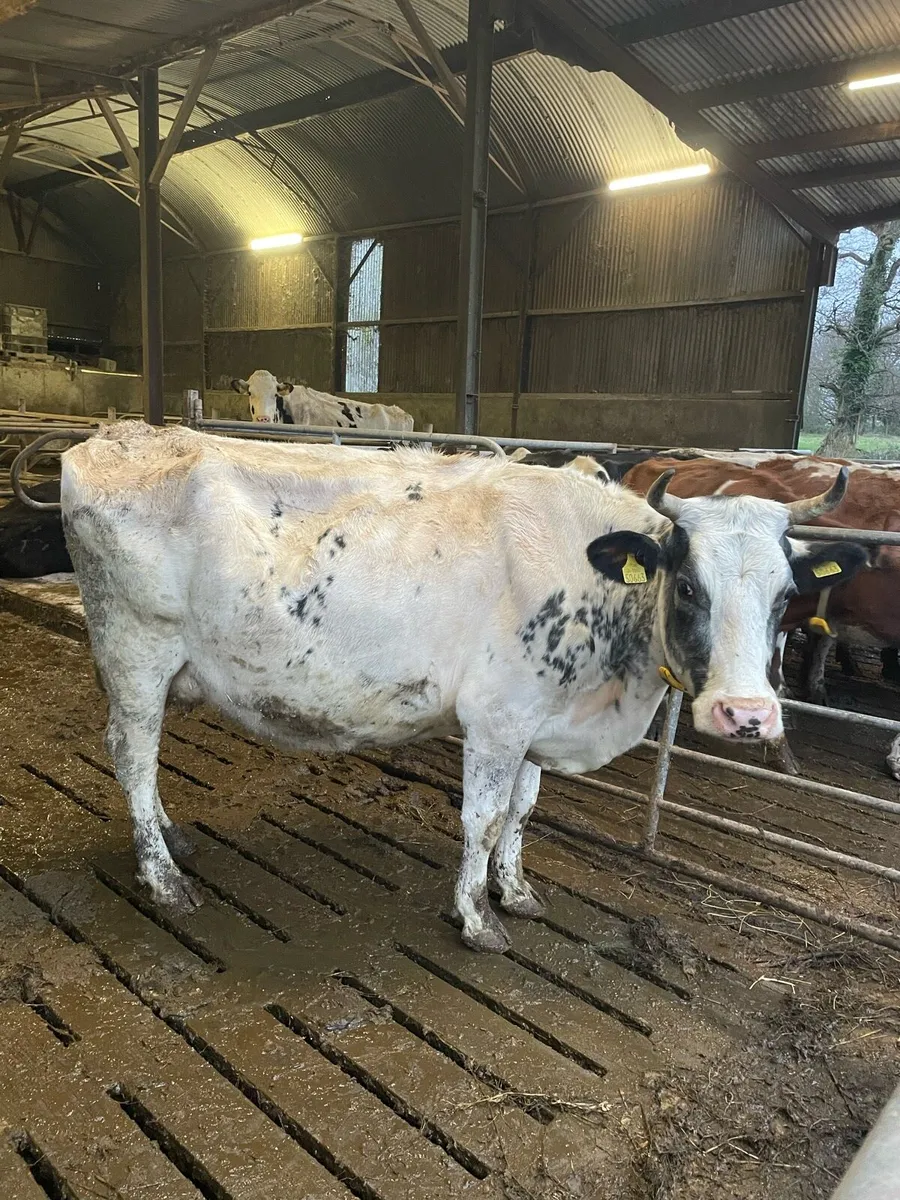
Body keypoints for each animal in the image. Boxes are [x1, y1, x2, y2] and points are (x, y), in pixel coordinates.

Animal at [61, 422, 863, 952]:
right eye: (691, 587)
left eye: (787, 594)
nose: (746, 714)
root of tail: (115, 436)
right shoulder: (498, 719)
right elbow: (481, 818)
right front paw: (478, 917)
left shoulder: (540, 718)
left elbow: (523, 811)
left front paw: (517, 889)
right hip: (137, 649)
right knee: (132, 753)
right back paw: (162, 877)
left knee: (139, 758)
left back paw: (169, 836)